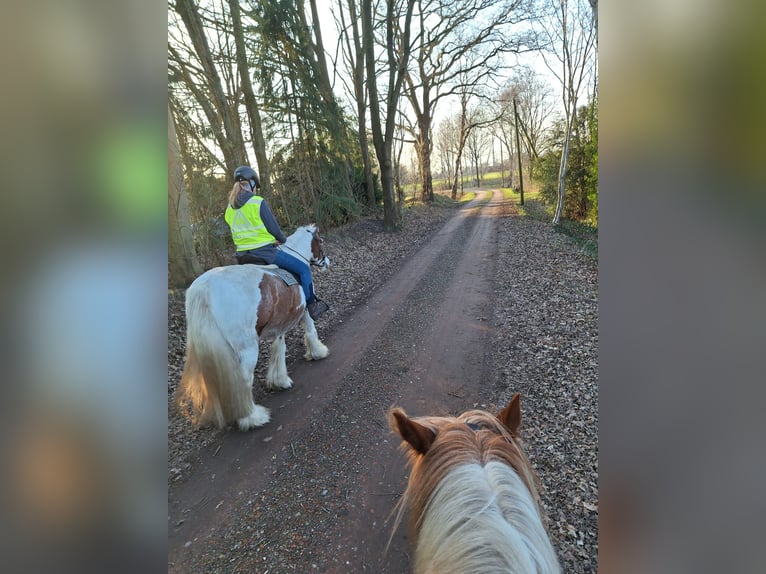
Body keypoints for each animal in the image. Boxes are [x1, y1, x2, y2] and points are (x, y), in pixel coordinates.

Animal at [175, 224, 331, 431]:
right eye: (320, 241)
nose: (327, 261)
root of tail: (204, 288)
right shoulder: (305, 310)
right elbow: (310, 330)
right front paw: (318, 352)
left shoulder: (279, 324)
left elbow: (279, 346)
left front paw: (279, 380)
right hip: (247, 347)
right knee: (243, 379)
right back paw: (252, 417)